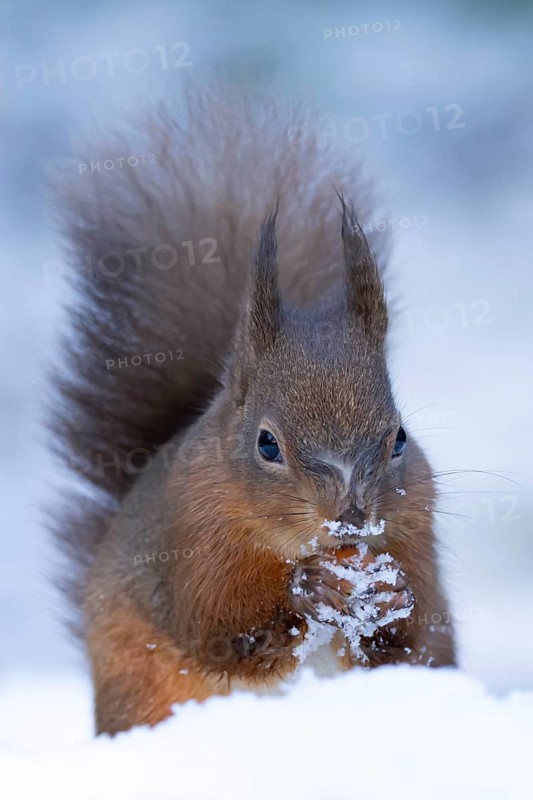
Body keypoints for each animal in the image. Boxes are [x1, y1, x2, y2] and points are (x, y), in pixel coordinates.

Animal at [50, 84, 455, 736]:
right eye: (267, 443)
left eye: (399, 438)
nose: (351, 518)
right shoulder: (193, 542)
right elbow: (223, 629)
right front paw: (307, 590)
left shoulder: (416, 529)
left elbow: (415, 636)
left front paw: (391, 596)